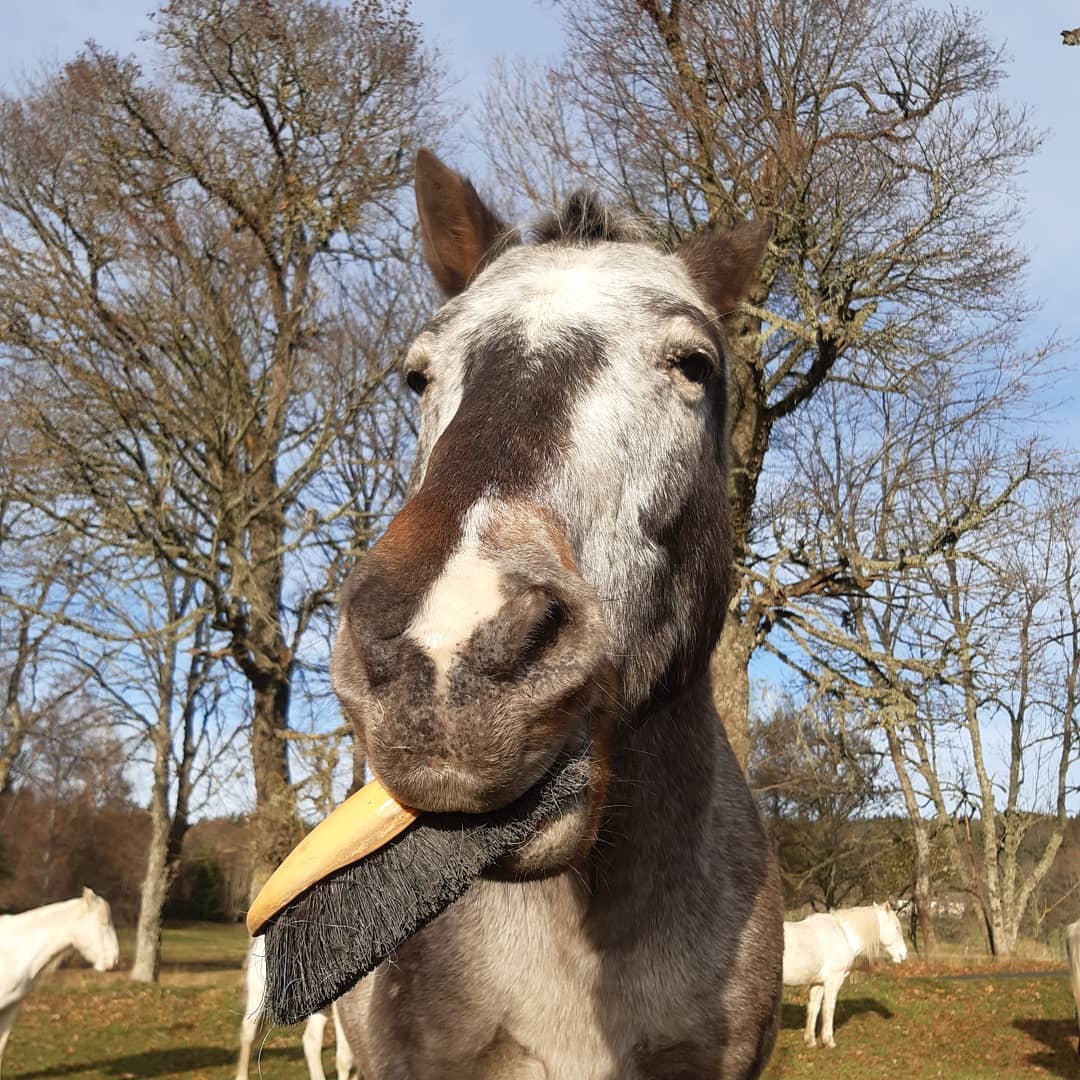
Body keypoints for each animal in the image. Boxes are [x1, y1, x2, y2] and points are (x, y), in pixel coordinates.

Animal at [782, 903, 908, 1048]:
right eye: (896, 928)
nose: (904, 954)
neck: (843, 935)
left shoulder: (818, 982)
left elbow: (814, 1008)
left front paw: (810, 1041)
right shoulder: (833, 980)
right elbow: (829, 1008)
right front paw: (829, 1041)